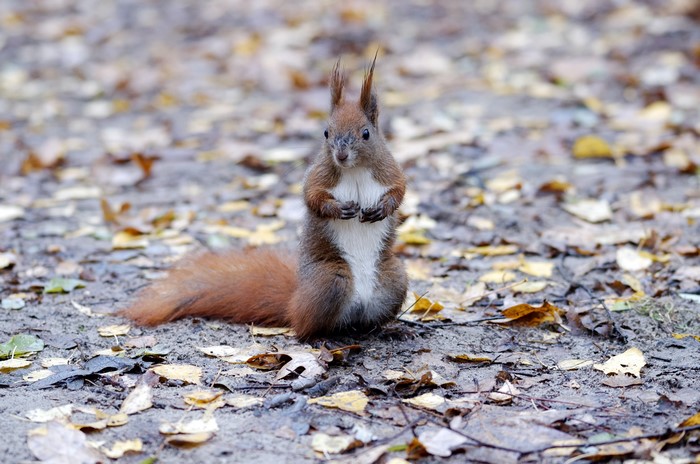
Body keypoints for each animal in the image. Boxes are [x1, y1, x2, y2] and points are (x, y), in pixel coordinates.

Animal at [120, 56, 408, 340]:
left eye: (366, 133)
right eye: (326, 132)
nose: (341, 155)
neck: (355, 170)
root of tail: (294, 300)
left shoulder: (390, 171)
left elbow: (400, 190)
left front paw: (383, 208)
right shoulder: (318, 176)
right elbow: (311, 196)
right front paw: (337, 209)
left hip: (394, 279)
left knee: (365, 320)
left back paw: (386, 331)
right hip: (331, 282)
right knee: (304, 327)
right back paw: (325, 337)